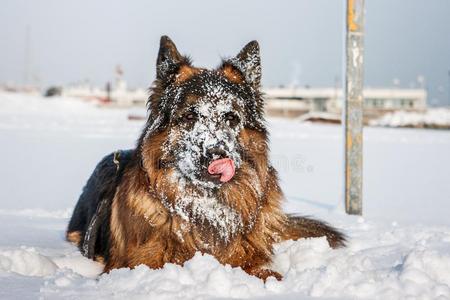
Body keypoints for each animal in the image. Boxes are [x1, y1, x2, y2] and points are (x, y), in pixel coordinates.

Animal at [67, 35, 344, 282]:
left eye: (231, 117)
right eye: (189, 117)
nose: (217, 155)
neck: (206, 207)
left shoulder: (247, 256)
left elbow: (267, 273)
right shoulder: (138, 263)